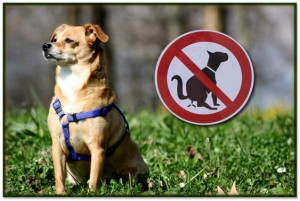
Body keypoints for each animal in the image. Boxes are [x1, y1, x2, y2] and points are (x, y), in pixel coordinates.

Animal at [42, 24, 148, 195]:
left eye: (69, 40)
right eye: (55, 39)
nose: (45, 46)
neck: (73, 87)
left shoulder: (97, 148)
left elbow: (93, 178)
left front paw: (91, 192)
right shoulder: (57, 146)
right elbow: (59, 176)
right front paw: (61, 193)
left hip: (131, 174)